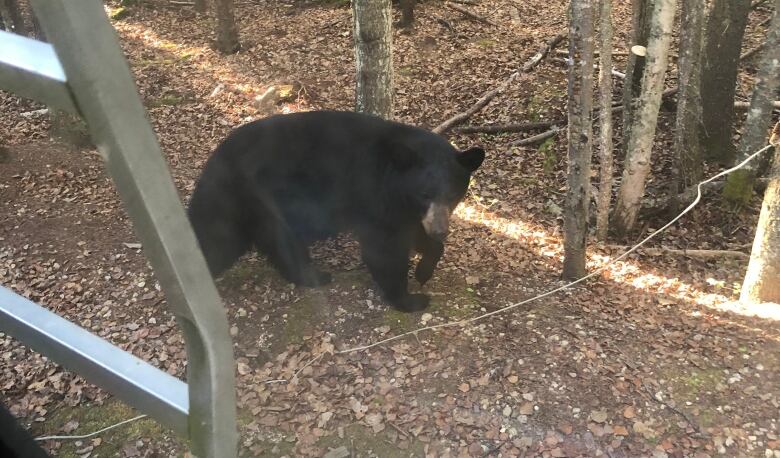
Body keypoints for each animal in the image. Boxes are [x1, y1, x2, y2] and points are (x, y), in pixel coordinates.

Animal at [189, 110, 482, 312]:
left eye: (453, 195)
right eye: (424, 194)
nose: (440, 230)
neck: (393, 180)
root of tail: (212, 163)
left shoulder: (407, 209)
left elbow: (414, 234)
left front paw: (424, 271)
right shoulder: (375, 197)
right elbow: (384, 249)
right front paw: (409, 299)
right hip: (254, 200)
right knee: (224, 241)